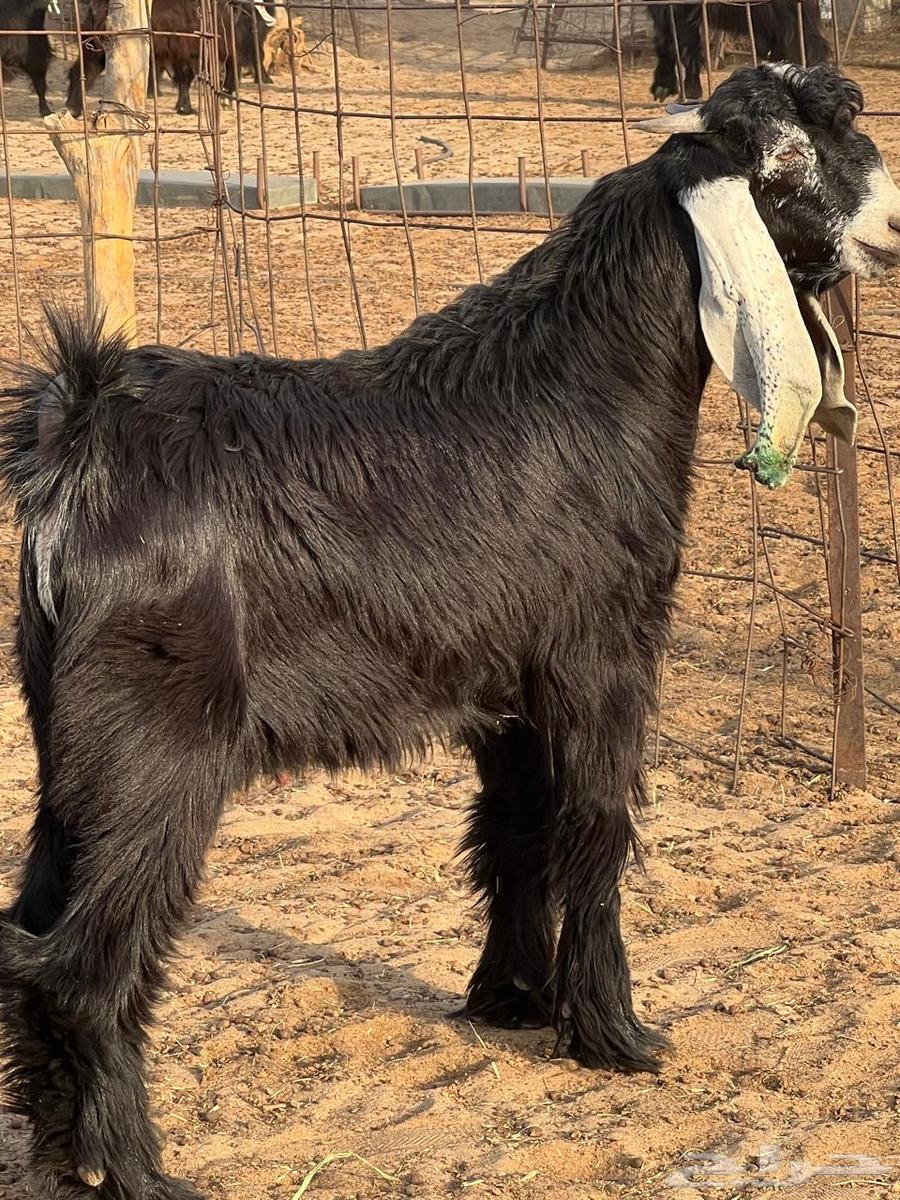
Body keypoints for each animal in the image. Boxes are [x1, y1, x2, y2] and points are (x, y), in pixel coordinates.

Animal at [1, 64, 899, 1200]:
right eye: (789, 158)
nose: (892, 225)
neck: (587, 375)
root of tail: (78, 444)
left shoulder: (504, 687)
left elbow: (514, 830)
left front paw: (510, 1001)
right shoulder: (603, 657)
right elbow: (594, 828)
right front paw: (613, 1034)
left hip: (70, 749)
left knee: (31, 932)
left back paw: (57, 1151)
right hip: (155, 749)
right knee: (82, 963)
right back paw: (135, 1169)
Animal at [65, 0, 275, 118]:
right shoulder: (183, 50)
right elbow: (186, 77)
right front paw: (186, 107)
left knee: (83, 71)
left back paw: (73, 109)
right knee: (84, 72)